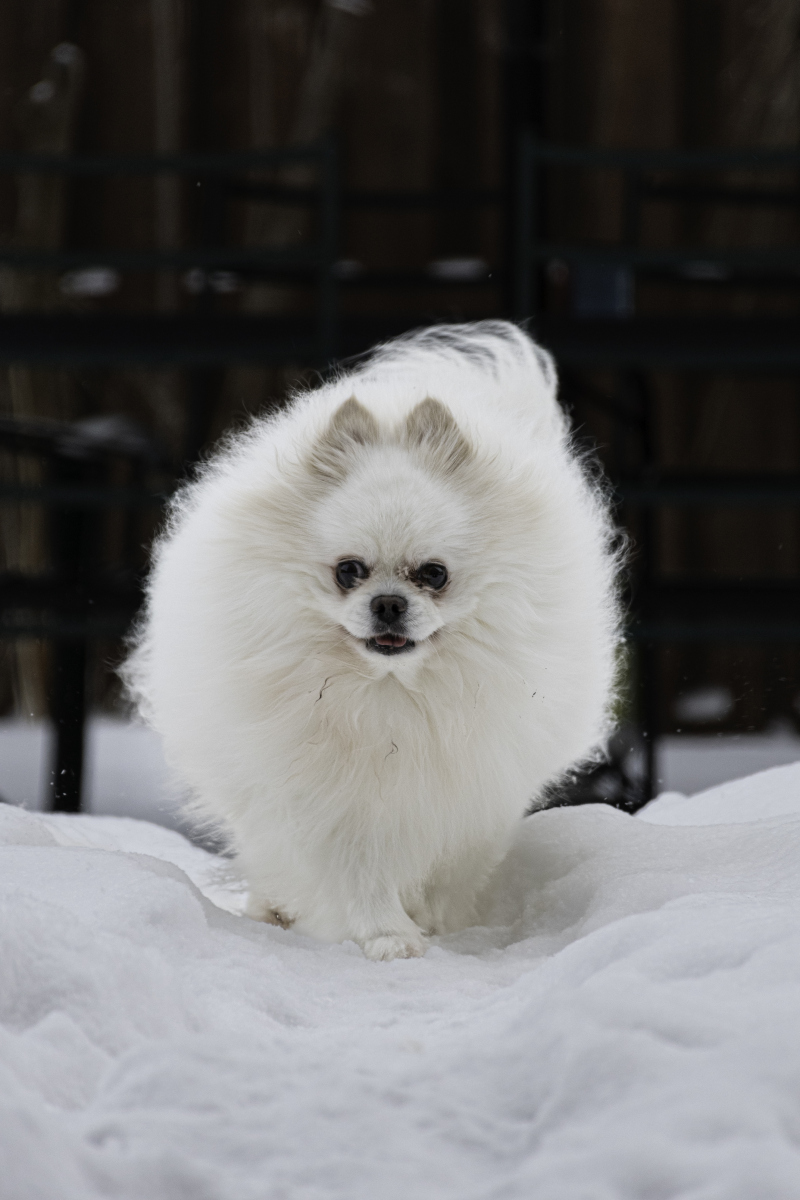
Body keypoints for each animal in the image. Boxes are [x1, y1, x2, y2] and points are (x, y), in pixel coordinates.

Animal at [126, 319, 623, 955]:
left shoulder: (475, 792)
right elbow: (359, 873)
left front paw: (438, 925)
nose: (388, 603)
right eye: (349, 571)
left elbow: (452, 868)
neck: (390, 693)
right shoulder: (336, 803)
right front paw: (390, 939)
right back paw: (273, 910)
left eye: (433, 574)